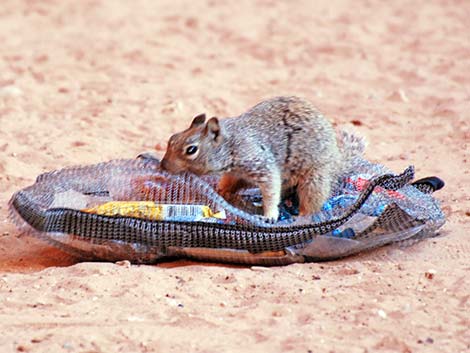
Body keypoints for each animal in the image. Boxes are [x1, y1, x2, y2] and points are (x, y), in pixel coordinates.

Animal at [161, 95, 364, 219]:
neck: (230, 144)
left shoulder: (261, 164)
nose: (163, 166)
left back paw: (301, 215)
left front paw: (270, 215)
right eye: (172, 138)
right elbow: (228, 183)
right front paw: (219, 191)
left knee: (312, 201)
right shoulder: (236, 174)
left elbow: (271, 190)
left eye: (191, 150)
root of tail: (337, 162)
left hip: (314, 180)